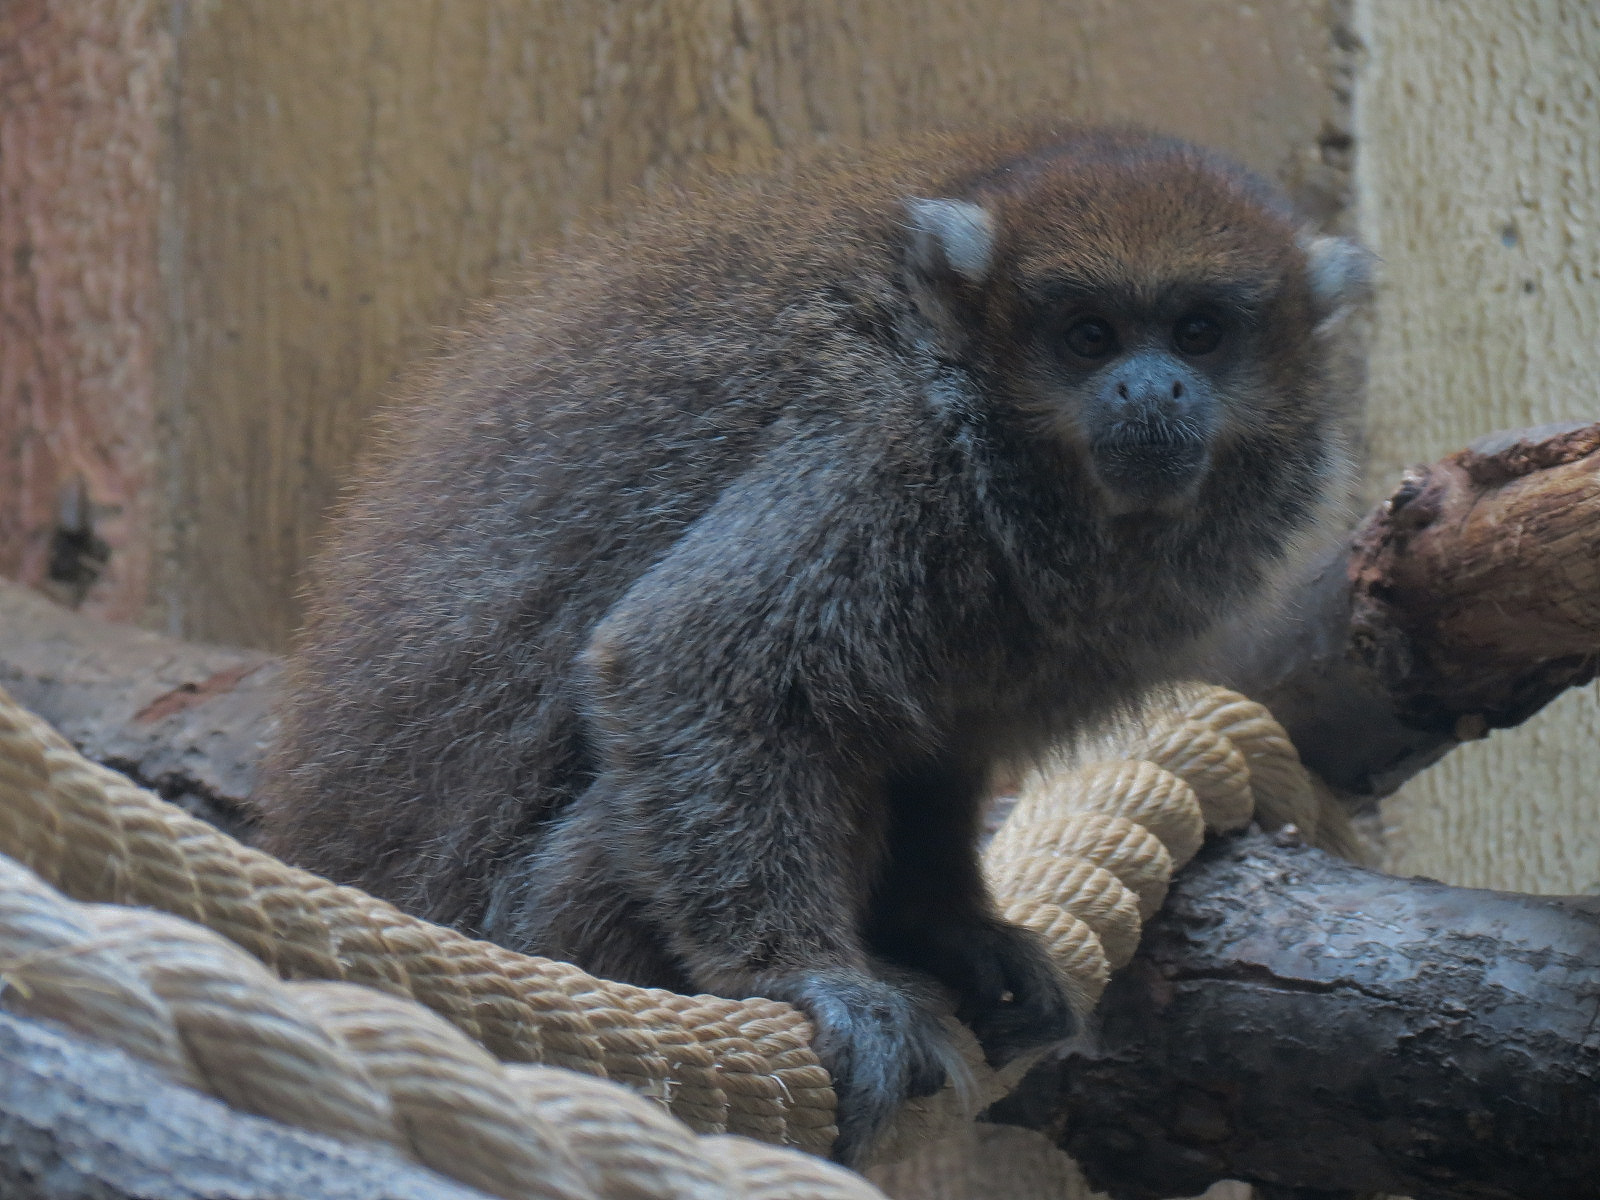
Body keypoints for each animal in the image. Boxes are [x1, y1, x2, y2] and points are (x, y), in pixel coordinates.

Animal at [256, 125, 1369, 1165]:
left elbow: (933, 750)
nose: (1150, 390)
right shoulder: (878, 448)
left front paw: (949, 930)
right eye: (1088, 336)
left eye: (1199, 332)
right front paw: (804, 977)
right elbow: (684, 668)